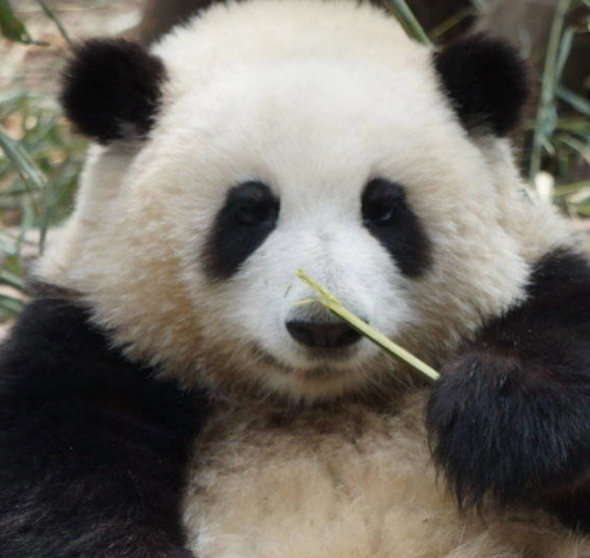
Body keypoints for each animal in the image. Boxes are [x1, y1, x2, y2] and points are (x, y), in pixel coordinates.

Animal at [1, 0, 590, 556]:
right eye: (250, 211)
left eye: (383, 210)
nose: (324, 326)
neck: (315, 404)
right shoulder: (93, 345)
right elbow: (59, 506)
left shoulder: (543, 276)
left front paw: (501, 414)